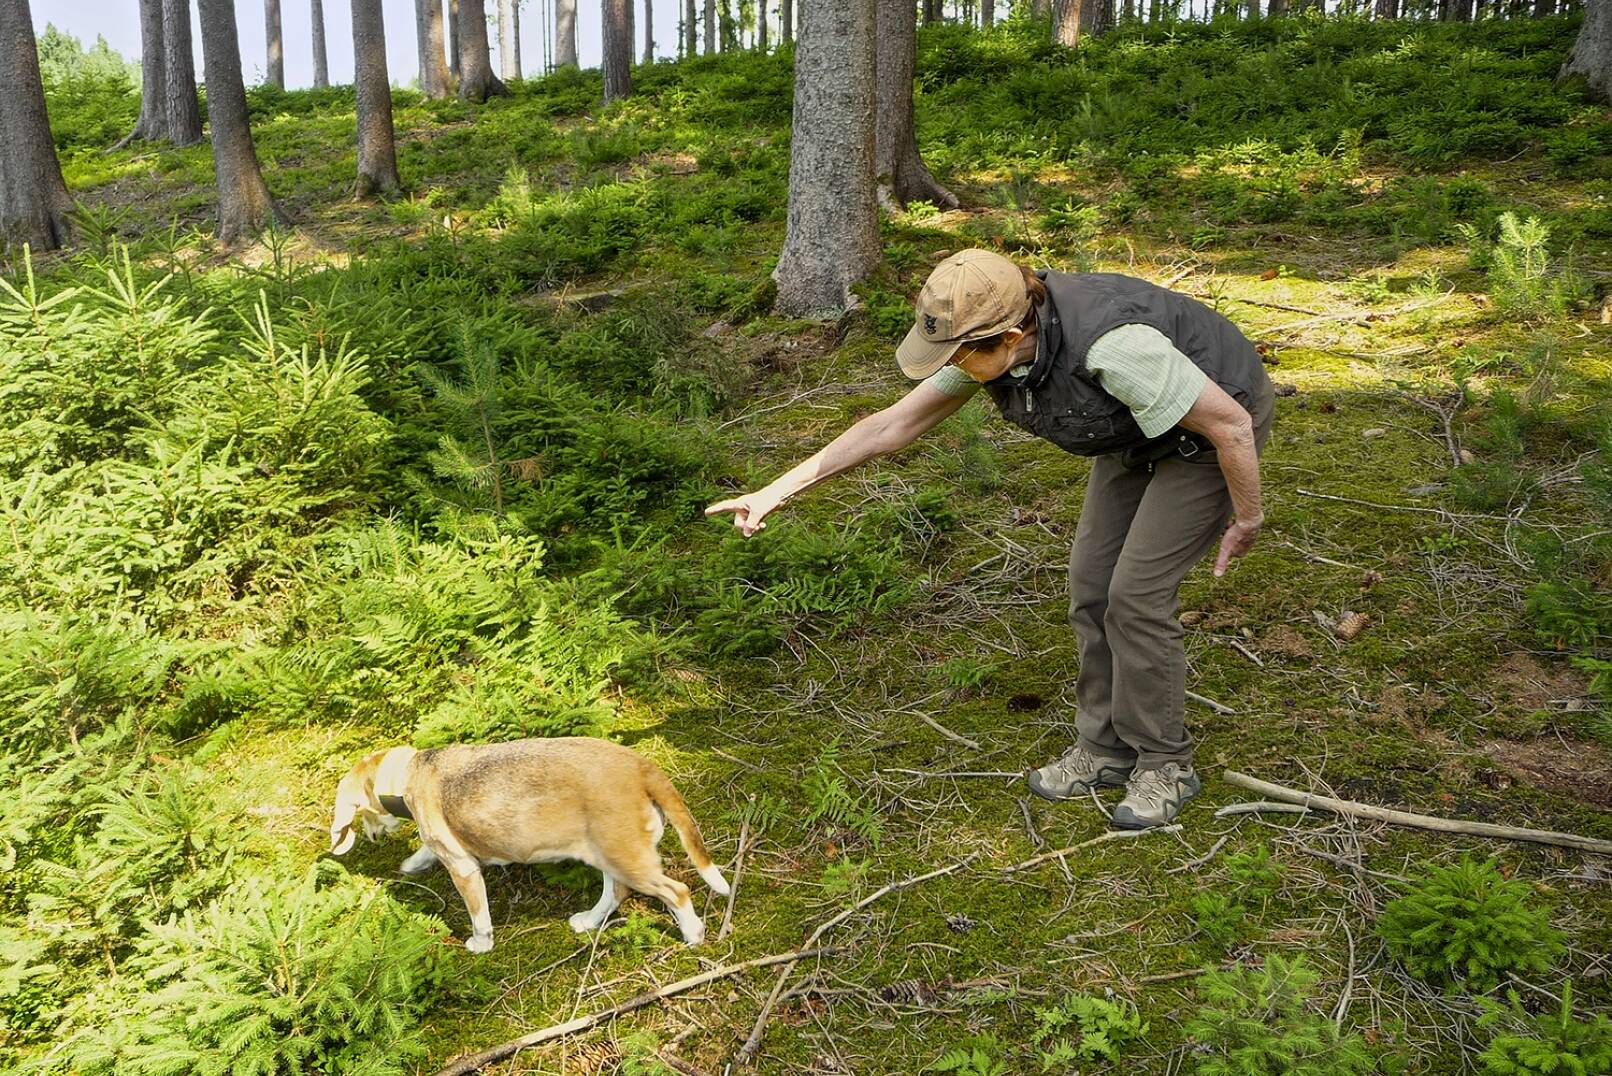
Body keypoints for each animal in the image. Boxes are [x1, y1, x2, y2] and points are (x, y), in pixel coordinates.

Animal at [327, 742, 731, 948]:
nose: (371, 836)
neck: (408, 772)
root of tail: (640, 765)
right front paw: (413, 864)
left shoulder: (462, 868)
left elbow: (479, 919)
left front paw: (480, 945)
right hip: (607, 854)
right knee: (615, 892)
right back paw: (589, 920)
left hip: (628, 859)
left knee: (677, 892)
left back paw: (693, 934)